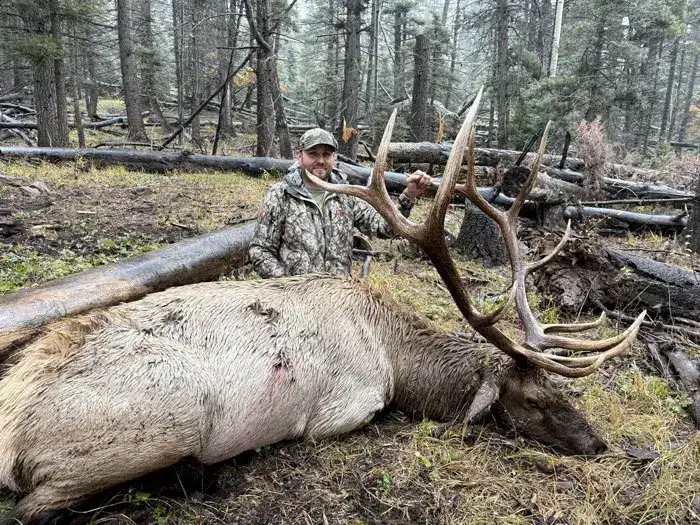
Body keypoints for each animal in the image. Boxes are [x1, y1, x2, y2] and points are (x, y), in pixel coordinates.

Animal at [0, 87, 645, 524]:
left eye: (560, 389)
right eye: (534, 400)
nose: (598, 443)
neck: (396, 355)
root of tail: (9, 428)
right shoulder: (345, 407)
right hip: (159, 425)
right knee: (35, 507)